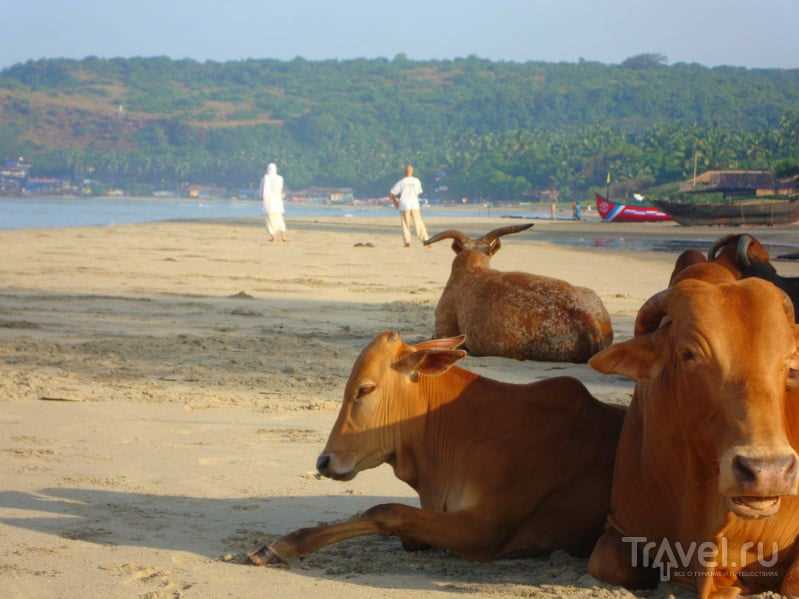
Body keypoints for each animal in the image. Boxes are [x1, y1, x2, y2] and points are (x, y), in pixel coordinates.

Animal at [588, 264, 799, 596]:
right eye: (689, 354)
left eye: (790, 363)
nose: (768, 472)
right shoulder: (620, 527)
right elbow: (610, 562)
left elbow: (791, 581)